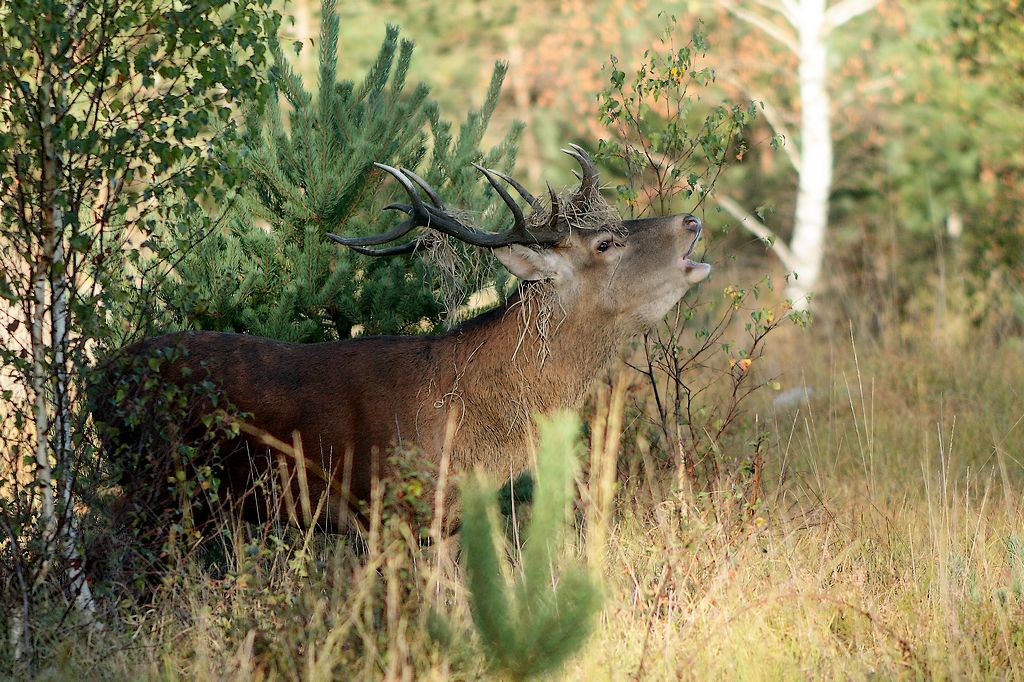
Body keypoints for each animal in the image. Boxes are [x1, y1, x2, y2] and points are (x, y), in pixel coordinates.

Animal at [93, 145, 710, 535]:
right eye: (605, 243)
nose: (691, 221)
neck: (468, 419)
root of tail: (96, 380)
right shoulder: (391, 508)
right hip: (152, 483)